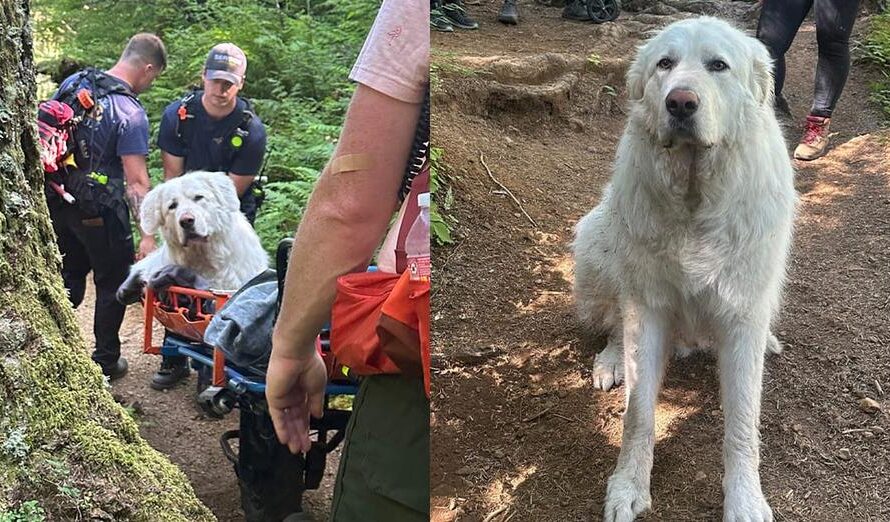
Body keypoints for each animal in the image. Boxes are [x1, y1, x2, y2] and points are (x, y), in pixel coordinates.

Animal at [568, 16, 796, 520]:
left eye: (718, 66)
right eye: (665, 64)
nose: (680, 102)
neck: (695, 198)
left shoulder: (741, 315)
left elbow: (742, 425)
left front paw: (745, 500)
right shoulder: (648, 309)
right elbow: (637, 414)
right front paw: (628, 487)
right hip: (596, 243)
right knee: (614, 323)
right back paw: (611, 359)